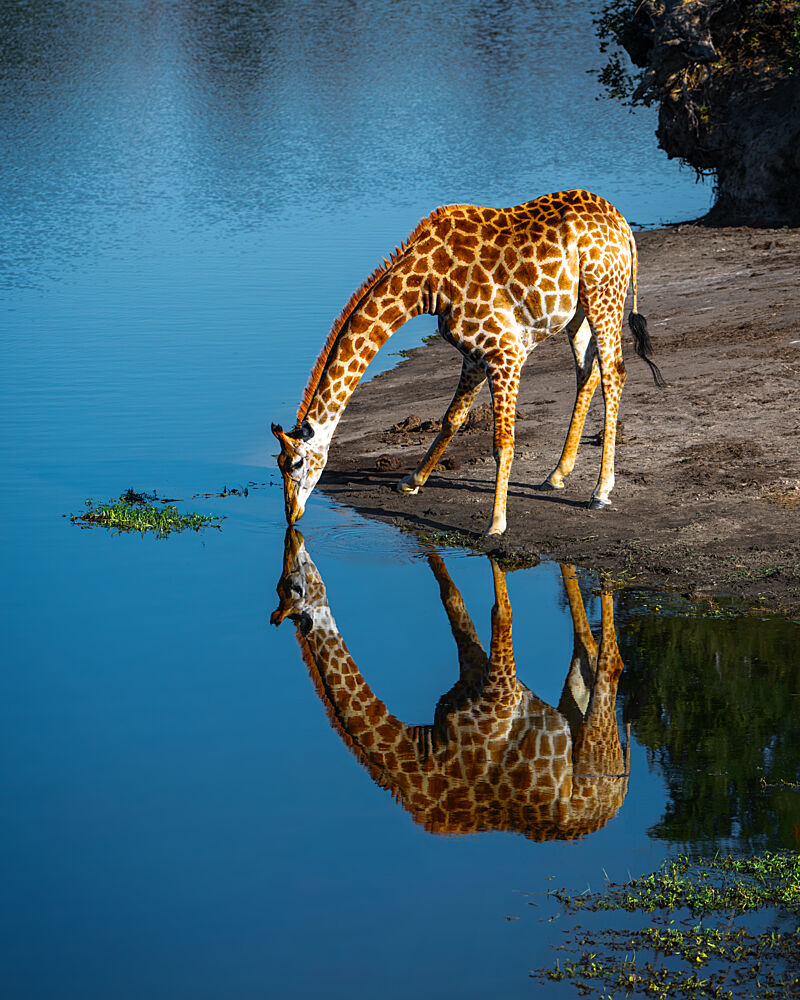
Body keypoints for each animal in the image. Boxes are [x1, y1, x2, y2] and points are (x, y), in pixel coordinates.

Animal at [271, 528, 630, 840]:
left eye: (291, 585)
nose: (294, 541)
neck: (426, 753)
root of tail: (617, 800)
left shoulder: (502, 692)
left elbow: (501, 613)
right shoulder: (473, 673)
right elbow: (451, 596)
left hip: (595, 754)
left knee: (612, 663)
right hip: (574, 710)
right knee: (587, 650)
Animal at [272, 189, 663, 536]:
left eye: (295, 463)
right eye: (278, 464)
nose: (292, 515)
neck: (427, 284)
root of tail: (623, 226)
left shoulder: (505, 353)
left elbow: (502, 443)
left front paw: (496, 524)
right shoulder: (474, 355)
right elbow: (452, 418)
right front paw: (411, 481)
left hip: (604, 296)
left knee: (614, 375)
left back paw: (600, 491)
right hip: (578, 310)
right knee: (588, 373)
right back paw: (556, 475)